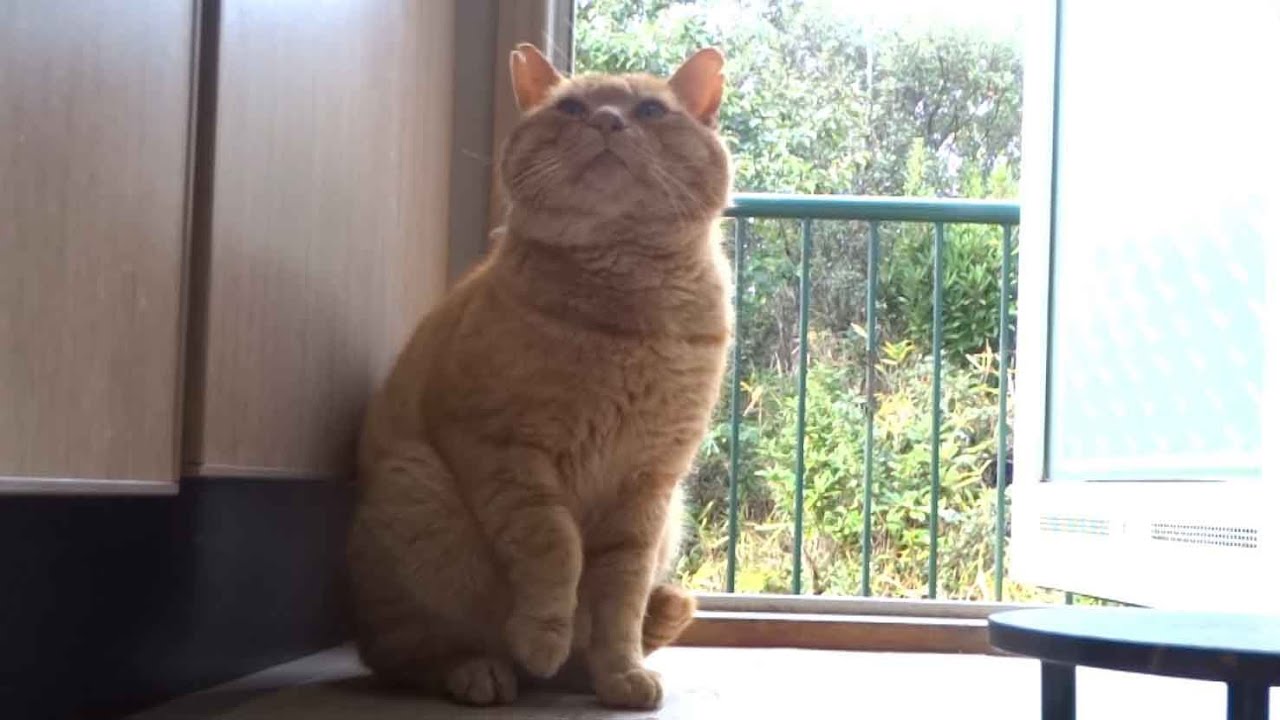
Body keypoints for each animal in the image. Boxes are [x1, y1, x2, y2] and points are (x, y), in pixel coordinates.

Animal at [346, 44, 732, 710]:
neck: (627, 313)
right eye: (572, 108)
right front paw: (544, 635)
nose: (607, 120)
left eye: (651, 111)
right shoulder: (506, 452)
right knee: (403, 656)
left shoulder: (649, 488)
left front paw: (620, 674)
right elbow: (556, 549)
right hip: (415, 486)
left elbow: (622, 600)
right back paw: (482, 671)